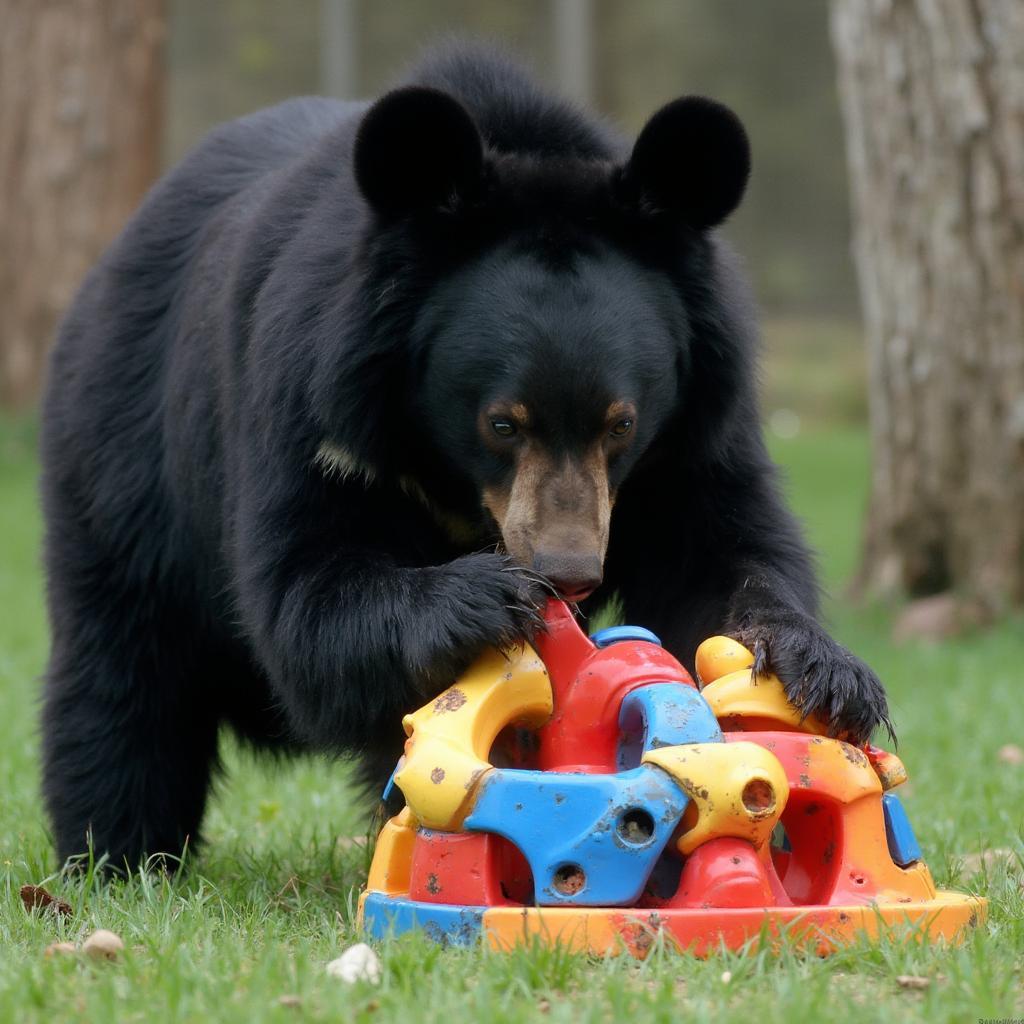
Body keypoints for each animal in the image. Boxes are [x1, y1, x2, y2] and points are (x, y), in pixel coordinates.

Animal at [39, 44, 888, 868]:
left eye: (622, 424)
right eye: (501, 424)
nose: (569, 572)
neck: (448, 475)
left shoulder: (694, 437)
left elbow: (719, 554)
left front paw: (823, 673)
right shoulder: (308, 405)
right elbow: (306, 589)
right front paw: (491, 595)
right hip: (124, 451)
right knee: (124, 669)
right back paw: (120, 855)